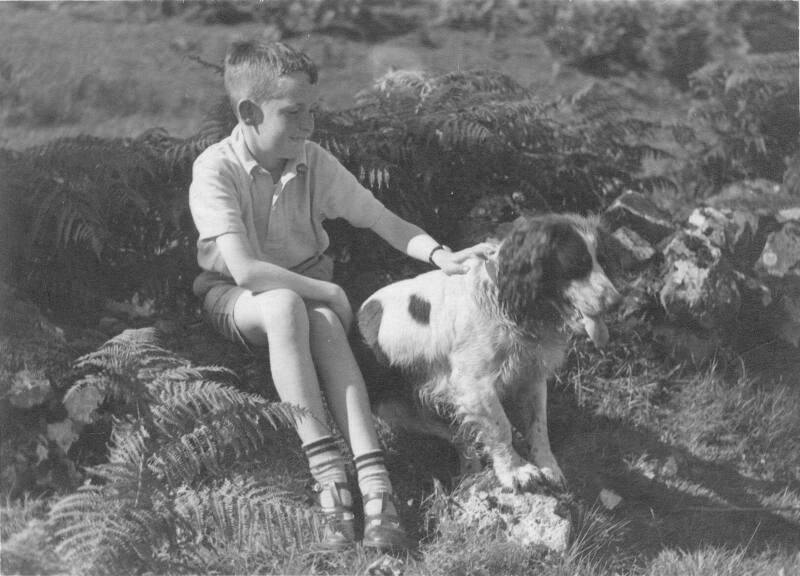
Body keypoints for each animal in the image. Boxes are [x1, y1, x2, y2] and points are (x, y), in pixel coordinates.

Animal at [358, 213, 624, 490]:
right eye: (577, 264)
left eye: (602, 260)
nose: (617, 302)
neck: (504, 304)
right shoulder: (475, 385)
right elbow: (501, 427)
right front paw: (517, 471)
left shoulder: (530, 376)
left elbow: (539, 426)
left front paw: (548, 466)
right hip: (396, 409)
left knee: (459, 434)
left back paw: (470, 470)